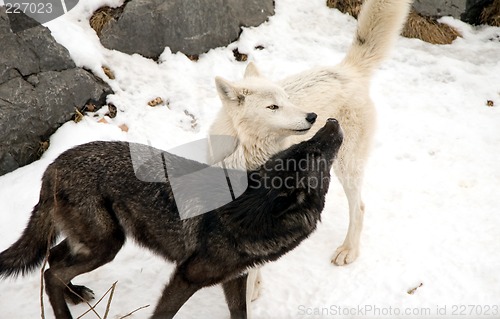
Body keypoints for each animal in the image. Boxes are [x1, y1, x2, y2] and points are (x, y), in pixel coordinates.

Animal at [0, 119, 344, 318]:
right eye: (312, 150)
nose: (332, 120)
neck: (251, 214)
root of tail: (53, 164)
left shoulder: (235, 279)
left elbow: (239, 314)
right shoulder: (186, 276)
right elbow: (163, 314)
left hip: (93, 243)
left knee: (53, 261)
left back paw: (75, 295)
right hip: (107, 245)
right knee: (52, 273)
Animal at [209, 0, 412, 302]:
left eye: (286, 100)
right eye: (273, 107)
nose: (312, 117)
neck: (246, 157)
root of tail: (347, 69)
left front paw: (252, 291)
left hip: (346, 166)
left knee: (360, 207)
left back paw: (348, 251)